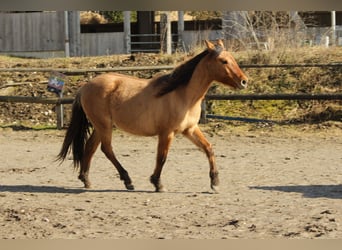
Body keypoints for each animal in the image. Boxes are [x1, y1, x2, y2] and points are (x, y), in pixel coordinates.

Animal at [57, 39, 247, 191]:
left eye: (232, 59)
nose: (244, 81)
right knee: (106, 149)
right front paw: (157, 183)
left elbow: (208, 148)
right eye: (223, 61)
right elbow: (162, 158)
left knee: (90, 147)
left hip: (100, 126)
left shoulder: (190, 129)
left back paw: (87, 180)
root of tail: (84, 87)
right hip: (103, 125)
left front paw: (215, 182)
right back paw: (127, 180)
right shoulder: (167, 133)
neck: (183, 95)